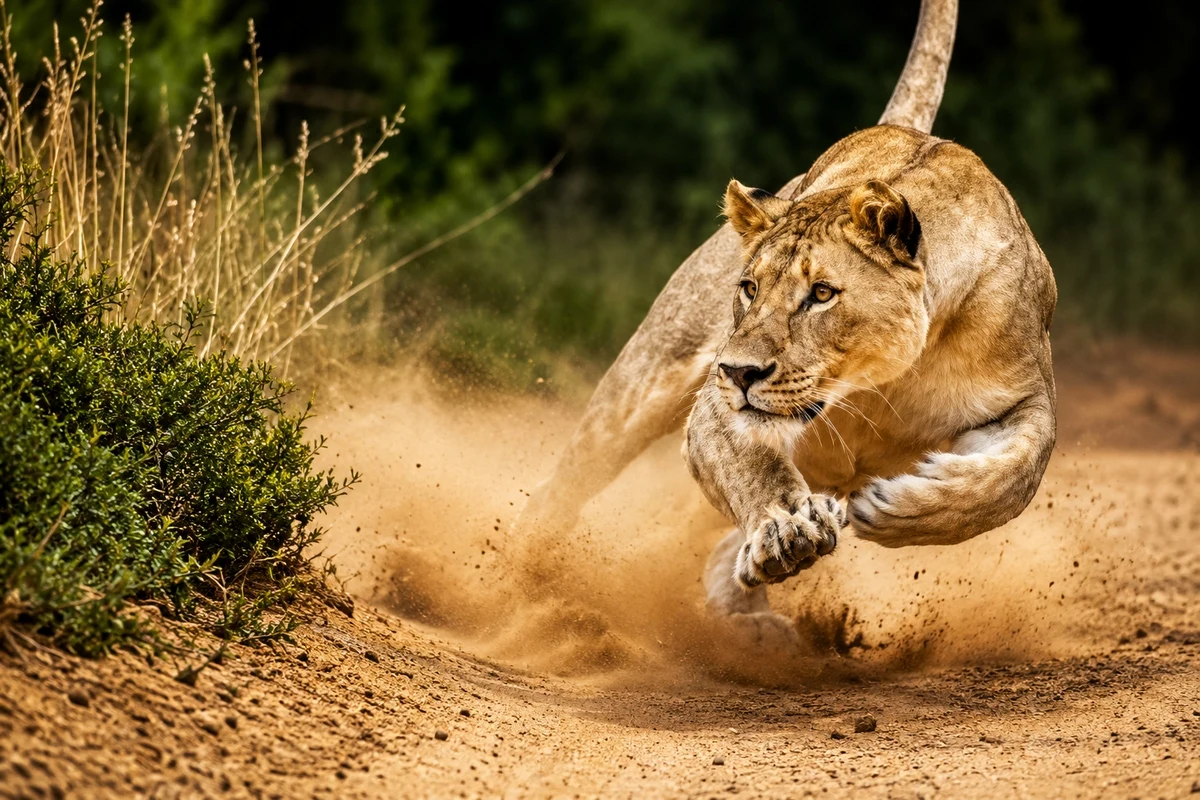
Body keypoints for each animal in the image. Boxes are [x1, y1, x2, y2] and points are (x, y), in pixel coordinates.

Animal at [514, 0, 1057, 642]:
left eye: (821, 294)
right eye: (749, 289)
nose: (739, 371)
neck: (888, 378)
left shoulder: (1025, 395)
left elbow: (1012, 481)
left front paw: (895, 508)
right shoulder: (716, 406)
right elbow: (753, 468)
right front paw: (783, 529)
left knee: (718, 551)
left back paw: (754, 618)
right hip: (642, 385)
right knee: (565, 484)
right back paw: (519, 576)